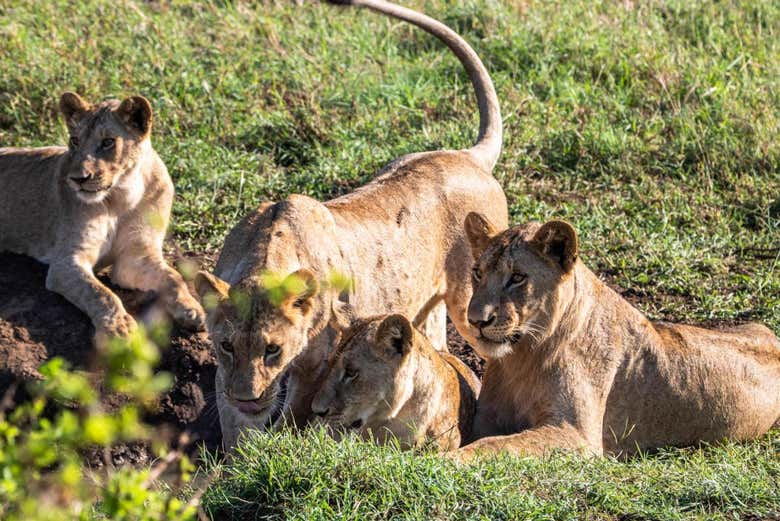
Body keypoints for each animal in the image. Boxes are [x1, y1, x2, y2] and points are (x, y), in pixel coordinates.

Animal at [454, 211, 780, 460]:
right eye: (478, 273)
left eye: (518, 277)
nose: (476, 320)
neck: (521, 358)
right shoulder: (486, 418)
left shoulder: (576, 434)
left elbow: (498, 446)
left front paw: (450, 460)